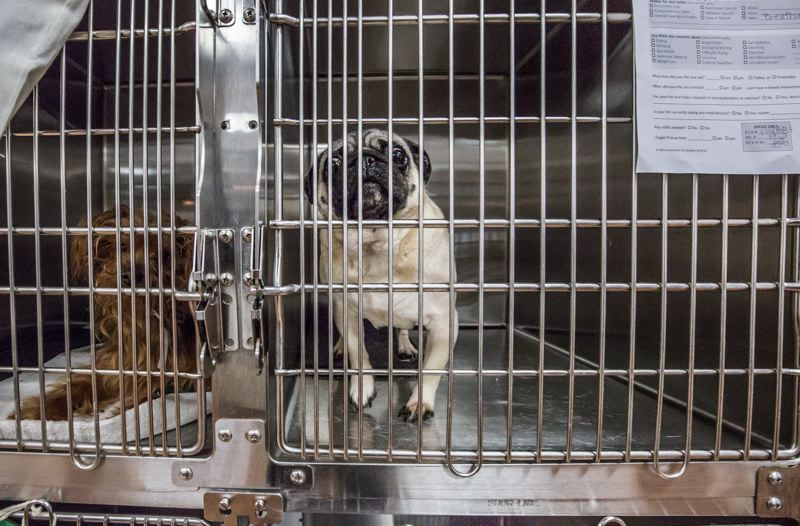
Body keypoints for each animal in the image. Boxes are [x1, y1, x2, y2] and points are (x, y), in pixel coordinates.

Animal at [10, 207, 198, 424]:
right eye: (122, 245)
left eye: (166, 255)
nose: (130, 275)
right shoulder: (113, 364)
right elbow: (78, 385)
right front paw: (36, 410)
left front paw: (117, 410)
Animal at [304, 130, 460, 422]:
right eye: (333, 165)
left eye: (398, 155)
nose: (365, 160)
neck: (378, 243)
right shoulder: (348, 312)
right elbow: (358, 353)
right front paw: (362, 388)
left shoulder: (444, 323)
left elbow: (431, 369)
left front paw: (420, 402)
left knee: (402, 328)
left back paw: (405, 346)